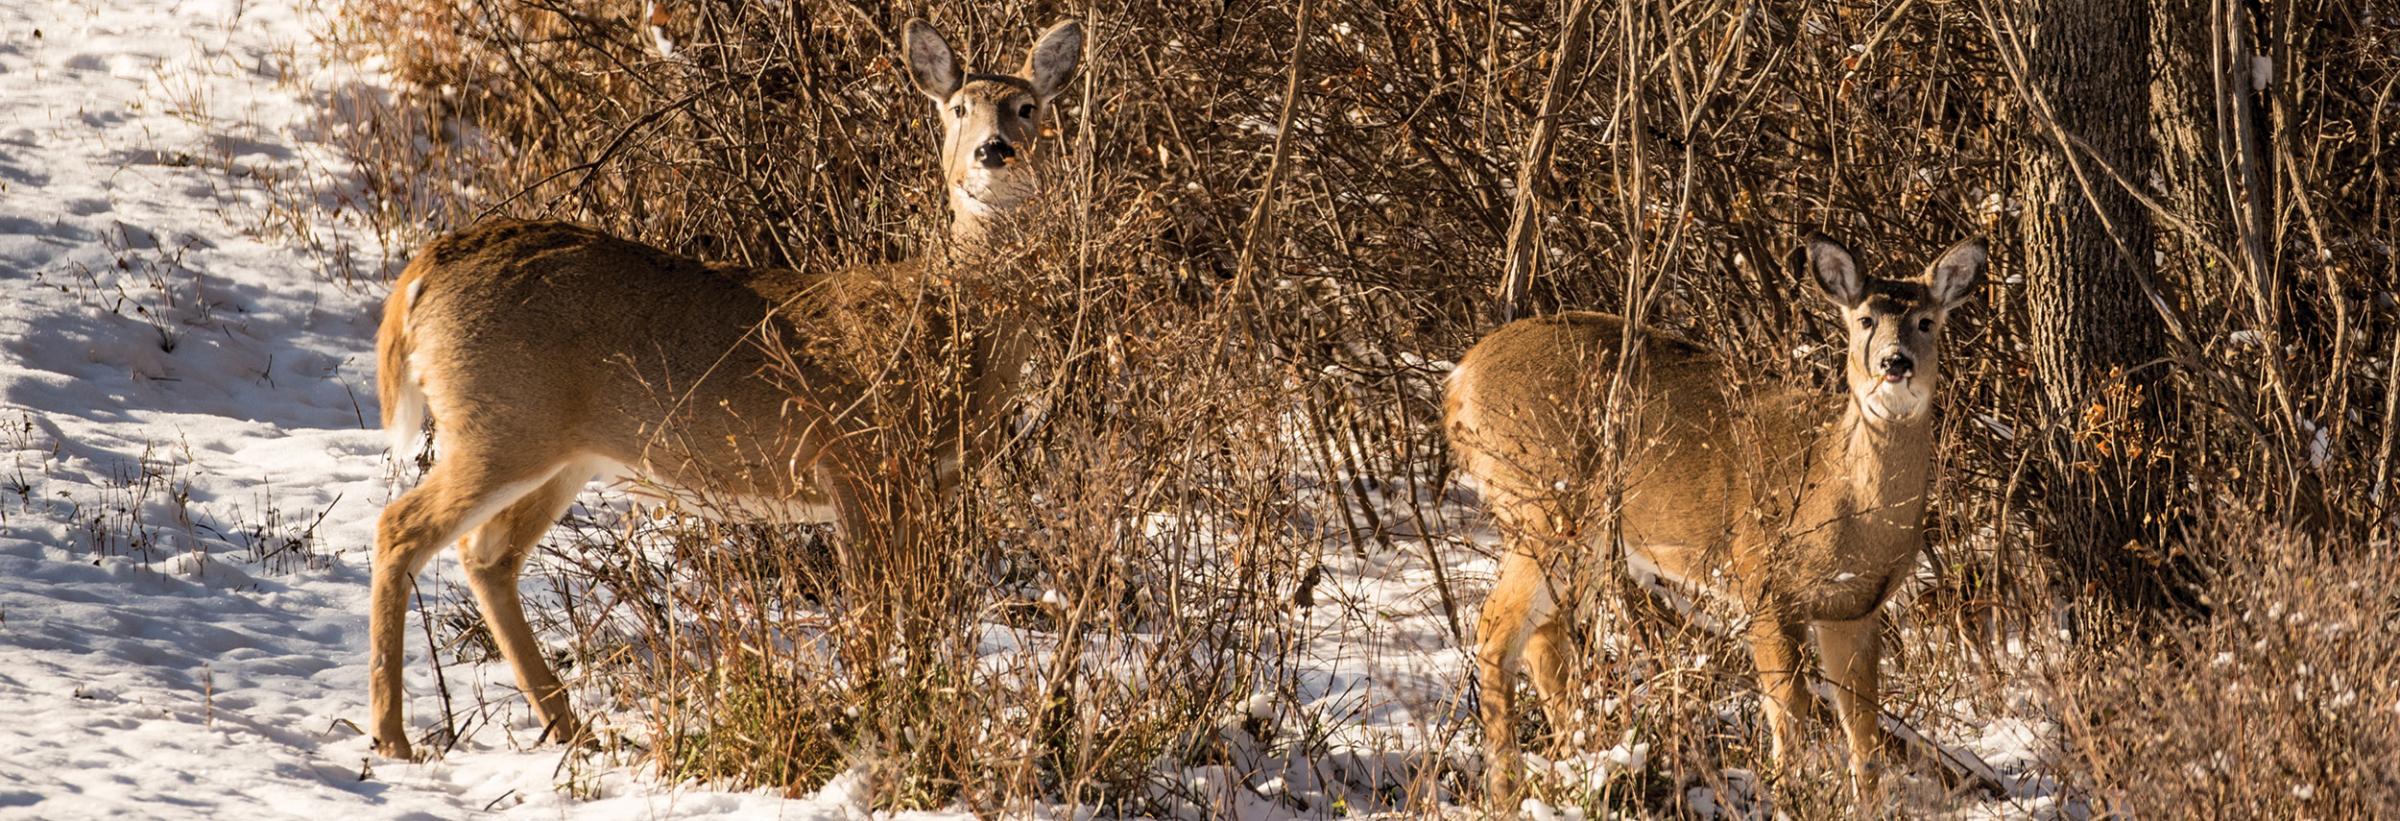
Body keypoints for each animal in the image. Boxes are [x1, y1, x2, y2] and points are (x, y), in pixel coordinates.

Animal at [360, 16, 1084, 758]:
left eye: (1027, 107)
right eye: (959, 108)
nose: (994, 150)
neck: (945, 318)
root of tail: (427, 266)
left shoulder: (925, 483)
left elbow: (915, 610)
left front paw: (911, 707)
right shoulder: (852, 459)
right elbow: (872, 612)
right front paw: (874, 715)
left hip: (559, 452)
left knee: (488, 557)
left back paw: (571, 728)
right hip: (500, 422)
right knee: (400, 528)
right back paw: (393, 737)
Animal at [1440, 234, 1987, 796]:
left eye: (1926, 321)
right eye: (1864, 320)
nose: (1894, 362)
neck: (1844, 502)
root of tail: (1458, 381)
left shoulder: (1855, 608)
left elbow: (1863, 724)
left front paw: (1866, 802)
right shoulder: (1762, 584)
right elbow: (1788, 708)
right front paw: (1787, 793)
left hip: (1580, 532)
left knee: (1544, 636)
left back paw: (1580, 758)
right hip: (1541, 501)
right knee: (1495, 629)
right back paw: (1508, 789)